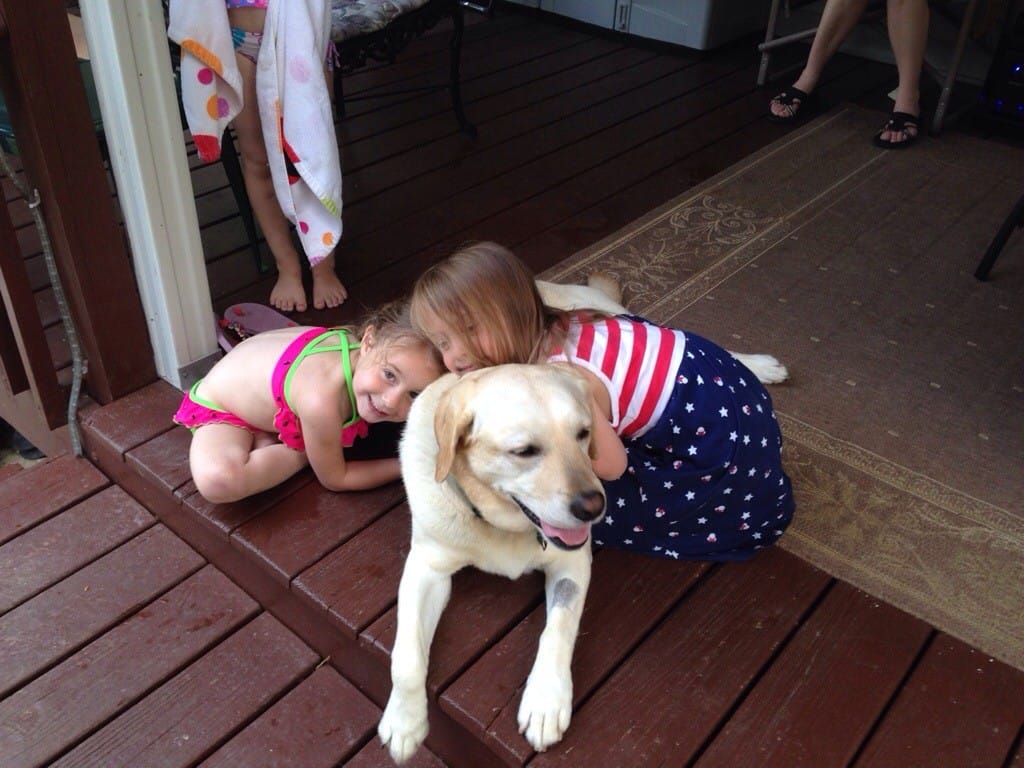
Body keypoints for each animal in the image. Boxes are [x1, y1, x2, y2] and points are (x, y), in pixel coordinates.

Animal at [378, 363, 604, 763]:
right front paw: (405, 722)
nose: (594, 507)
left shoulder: (572, 563)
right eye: (524, 451)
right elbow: (406, 658)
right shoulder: (427, 568)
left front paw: (545, 701)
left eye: (583, 433)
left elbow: (559, 628)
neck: (502, 525)